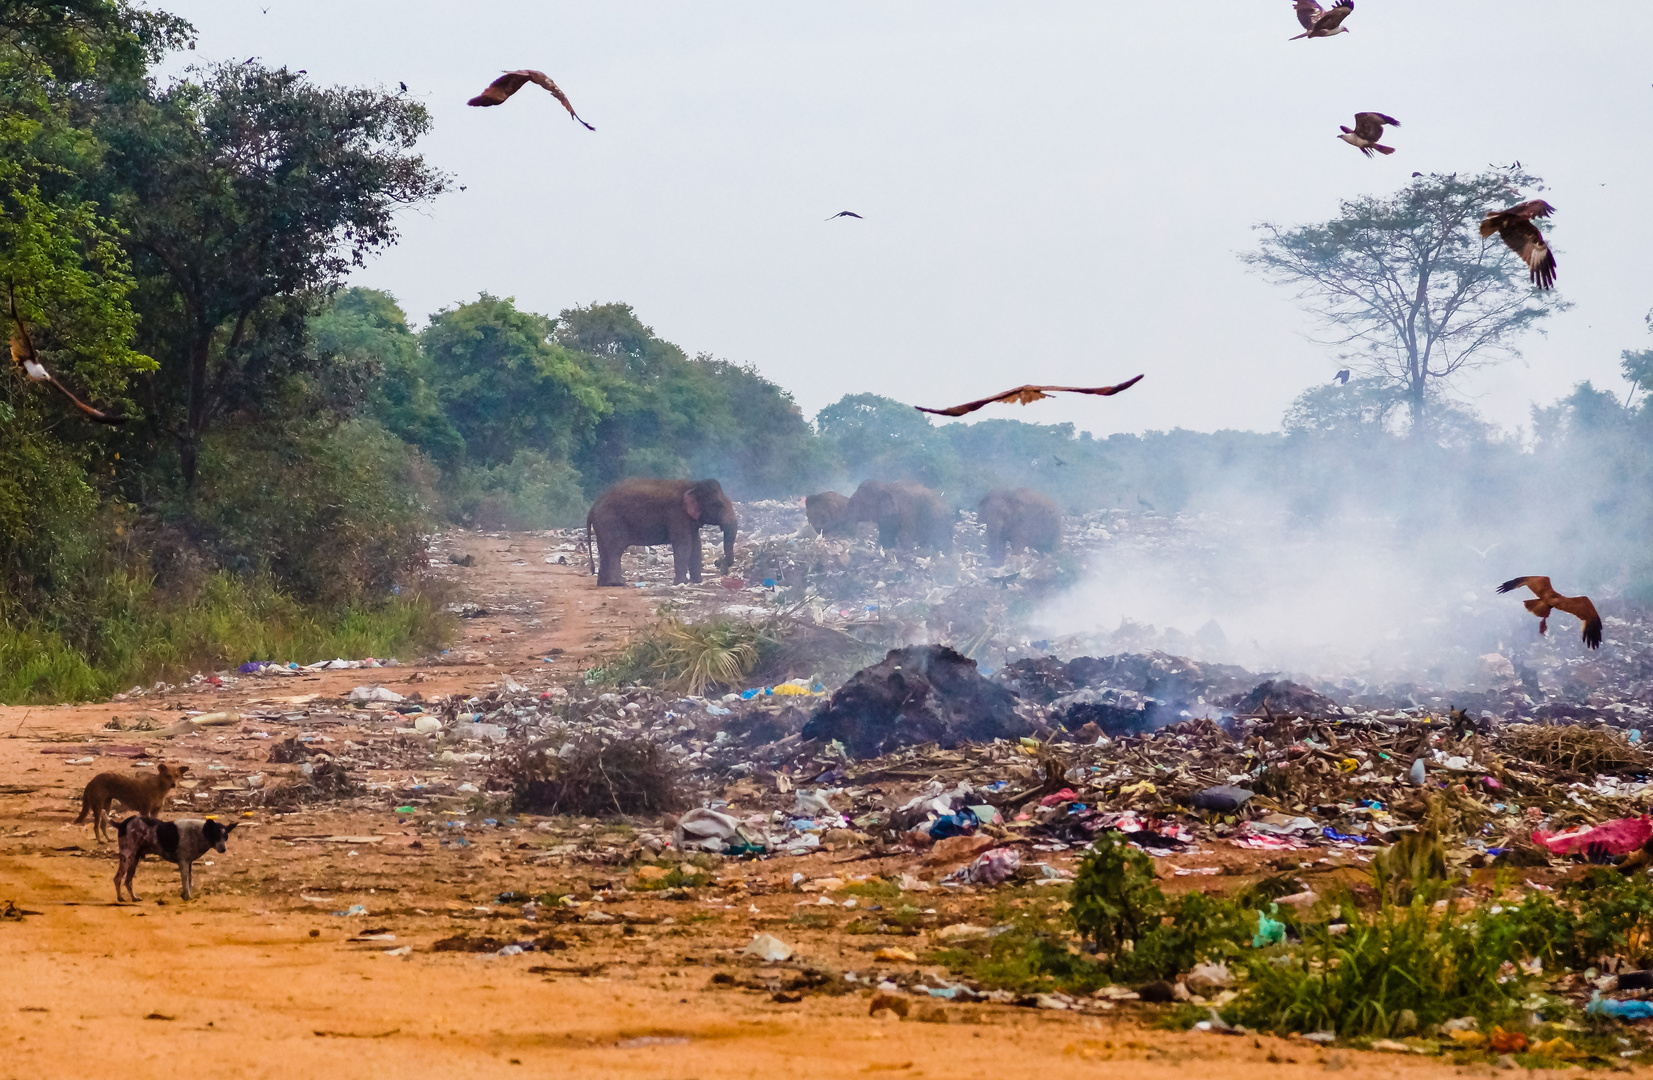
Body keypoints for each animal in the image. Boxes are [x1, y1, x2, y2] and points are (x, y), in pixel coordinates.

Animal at [581, 476, 737, 585]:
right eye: (718, 505)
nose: (718, 561)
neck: (692, 484)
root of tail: (593, 507)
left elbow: (696, 545)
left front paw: (697, 581)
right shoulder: (676, 514)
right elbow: (684, 545)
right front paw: (681, 583)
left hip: (602, 525)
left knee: (604, 550)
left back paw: (604, 584)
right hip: (610, 521)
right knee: (615, 549)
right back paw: (617, 583)